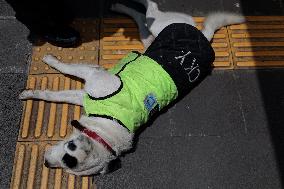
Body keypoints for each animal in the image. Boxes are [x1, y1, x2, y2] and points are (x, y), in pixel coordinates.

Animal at [18, 0, 245, 176]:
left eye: (67, 166)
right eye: (67, 153)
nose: (46, 163)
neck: (105, 123)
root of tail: (204, 35)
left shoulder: (85, 92)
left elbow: (53, 93)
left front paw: (31, 91)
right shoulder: (92, 76)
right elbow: (57, 78)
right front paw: (47, 62)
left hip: (153, 36)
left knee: (145, 15)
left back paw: (120, 6)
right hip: (160, 28)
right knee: (150, 9)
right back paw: (122, 5)